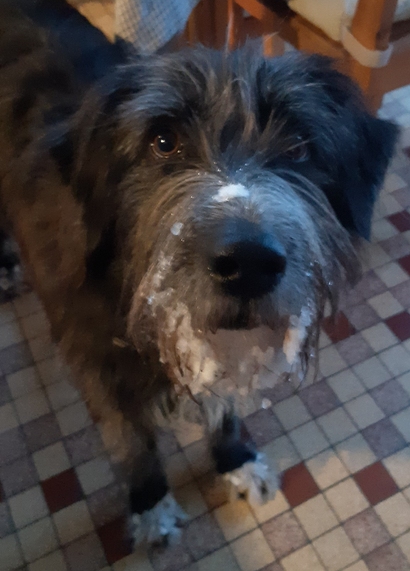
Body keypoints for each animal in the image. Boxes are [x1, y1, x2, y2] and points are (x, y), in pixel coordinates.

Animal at [0, 0, 399, 546]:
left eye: (298, 146)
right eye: (163, 141)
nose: (249, 265)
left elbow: (224, 406)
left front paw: (235, 460)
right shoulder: (94, 359)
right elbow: (130, 440)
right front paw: (149, 502)